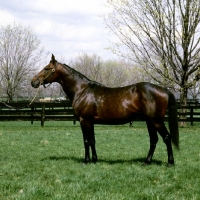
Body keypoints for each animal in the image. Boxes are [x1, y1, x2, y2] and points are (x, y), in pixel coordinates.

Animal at [31, 54, 180, 166]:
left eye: (46, 68)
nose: (33, 82)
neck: (82, 90)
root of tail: (164, 90)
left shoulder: (84, 121)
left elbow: (86, 141)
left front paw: (86, 161)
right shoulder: (90, 122)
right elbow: (92, 140)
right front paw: (94, 160)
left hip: (156, 121)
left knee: (167, 137)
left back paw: (170, 163)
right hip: (150, 121)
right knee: (154, 140)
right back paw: (146, 162)